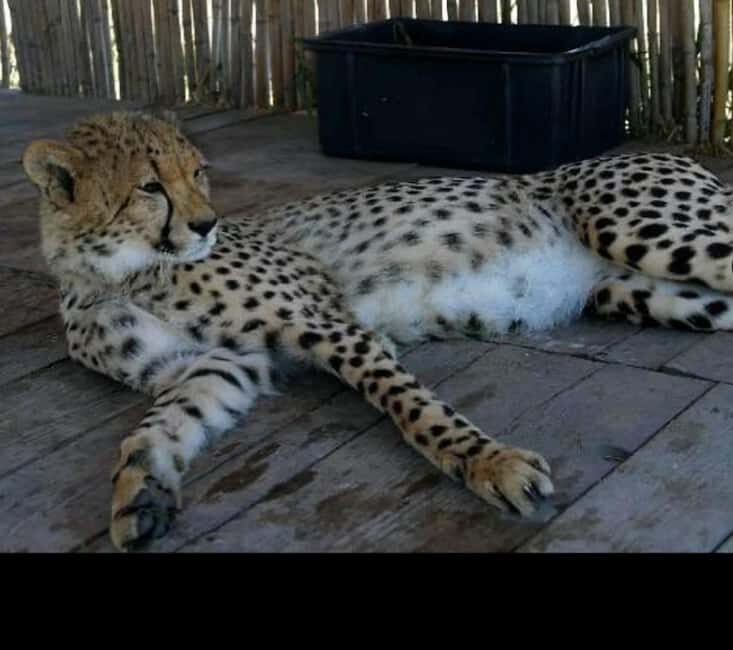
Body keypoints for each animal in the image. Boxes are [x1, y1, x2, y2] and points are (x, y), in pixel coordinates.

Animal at [22, 111, 733, 551]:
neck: (119, 270)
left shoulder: (331, 324)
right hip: (643, 292)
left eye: (196, 171)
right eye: (150, 186)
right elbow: (154, 430)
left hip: (645, 232)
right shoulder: (216, 367)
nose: (206, 223)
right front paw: (138, 496)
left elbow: (416, 409)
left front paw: (491, 463)